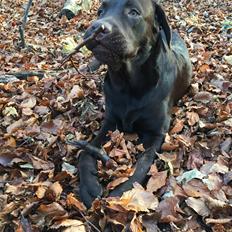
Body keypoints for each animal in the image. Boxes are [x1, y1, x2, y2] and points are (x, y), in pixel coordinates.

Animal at [79, 0, 191, 208]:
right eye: (100, 11)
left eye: (133, 12)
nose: (96, 27)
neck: (128, 84)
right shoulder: (110, 122)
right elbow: (86, 152)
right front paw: (88, 185)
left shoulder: (156, 133)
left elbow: (143, 163)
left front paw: (124, 191)